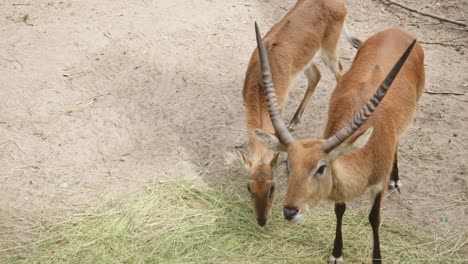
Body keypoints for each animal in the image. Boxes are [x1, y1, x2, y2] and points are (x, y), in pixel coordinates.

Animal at [239, 0, 360, 227]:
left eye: (272, 187)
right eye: (249, 187)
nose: (262, 220)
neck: (259, 85)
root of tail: (340, 4)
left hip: (330, 51)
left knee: (341, 72)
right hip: (309, 60)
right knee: (316, 76)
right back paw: (295, 120)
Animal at [254, 25, 426, 262]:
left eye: (321, 167)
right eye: (289, 164)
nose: (290, 211)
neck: (367, 154)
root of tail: (397, 31)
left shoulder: (378, 185)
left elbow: (374, 218)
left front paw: (377, 258)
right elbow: (340, 210)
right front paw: (337, 253)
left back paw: (396, 180)